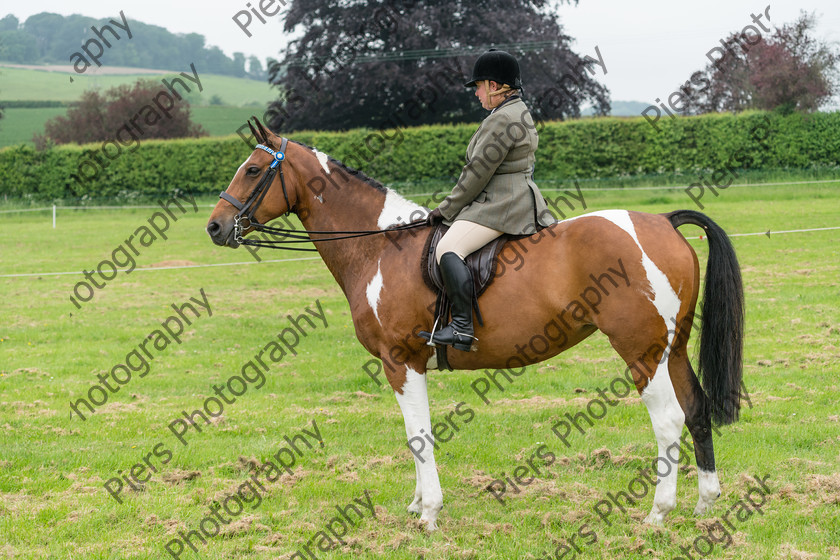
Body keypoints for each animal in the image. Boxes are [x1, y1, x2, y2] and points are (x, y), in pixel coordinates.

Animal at [207, 117, 744, 528]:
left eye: (252, 170)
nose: (215, 227)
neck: (380, 246)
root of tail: (662, 222)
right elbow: (417, 436)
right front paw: (418, 505)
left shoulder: (401, 362)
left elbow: (418, 436)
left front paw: (428, 514)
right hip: (672, 348)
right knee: (696, 409)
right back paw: (704, 504)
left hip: (641, 351)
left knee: (669, 419)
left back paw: (657, 514)